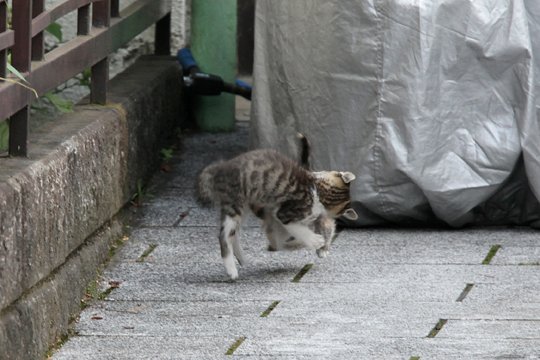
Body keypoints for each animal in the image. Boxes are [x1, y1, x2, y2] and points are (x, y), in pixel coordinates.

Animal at [196, 143, 356, 278]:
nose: (314, 171)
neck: (317, 191)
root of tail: (220, 168)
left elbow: (286, 238)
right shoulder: (285, 214)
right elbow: (297, 231)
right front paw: (314, 240)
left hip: (244, 206)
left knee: (233, 235)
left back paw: (242, 259)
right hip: (234, 205)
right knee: (223, 236)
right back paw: (231, 270)